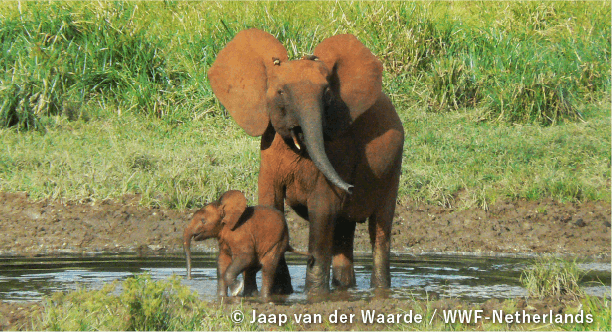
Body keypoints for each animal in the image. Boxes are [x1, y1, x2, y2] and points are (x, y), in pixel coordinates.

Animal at [208, 27, 404, 294]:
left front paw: (314, 293)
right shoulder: (269, 149)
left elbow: (323, 208)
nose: (351, 187)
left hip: (393, 169)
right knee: (343, 231)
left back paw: (378, 288)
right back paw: (344, 288)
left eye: (327, 94)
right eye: (280, 92)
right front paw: (282, 291)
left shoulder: (337, 150)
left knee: (380, 229)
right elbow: (270, 203)